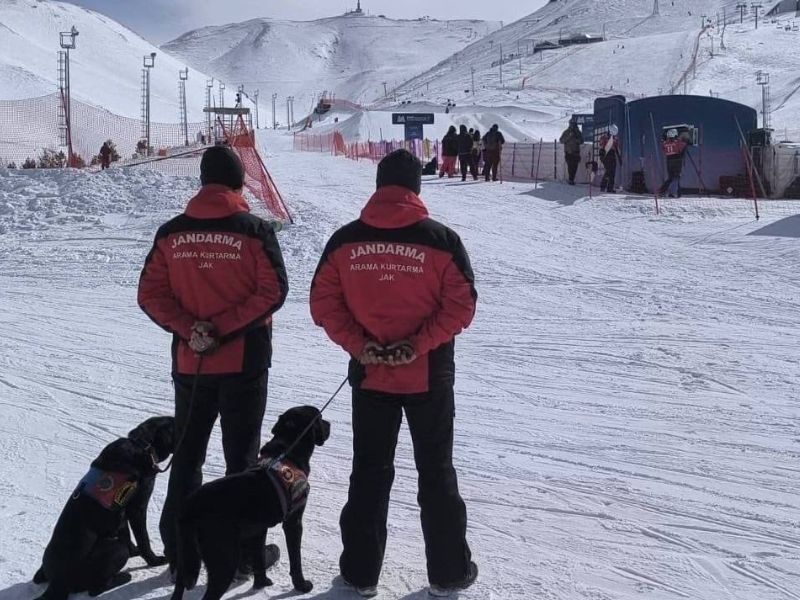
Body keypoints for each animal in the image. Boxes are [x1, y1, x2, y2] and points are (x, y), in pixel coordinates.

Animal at [33, 418, 175, 600]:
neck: (142, 444)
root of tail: (57, 584)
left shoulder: (120, 512)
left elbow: (126, 533)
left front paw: (134, 551)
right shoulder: (137, 508)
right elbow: (143, 539)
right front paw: (154, 561)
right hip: (116, 549)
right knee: (96, 589)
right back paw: (124, 577)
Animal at [170, 406, 330, 600]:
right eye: (320, 417)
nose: (329, 424)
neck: (286, 451)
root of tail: (189, 508)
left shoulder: (259, 528)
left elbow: (259, 556)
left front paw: (261, 583)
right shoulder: (293, 522)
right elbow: (296, 560)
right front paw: (302, 585)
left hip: (185, 556)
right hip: (224, 559)